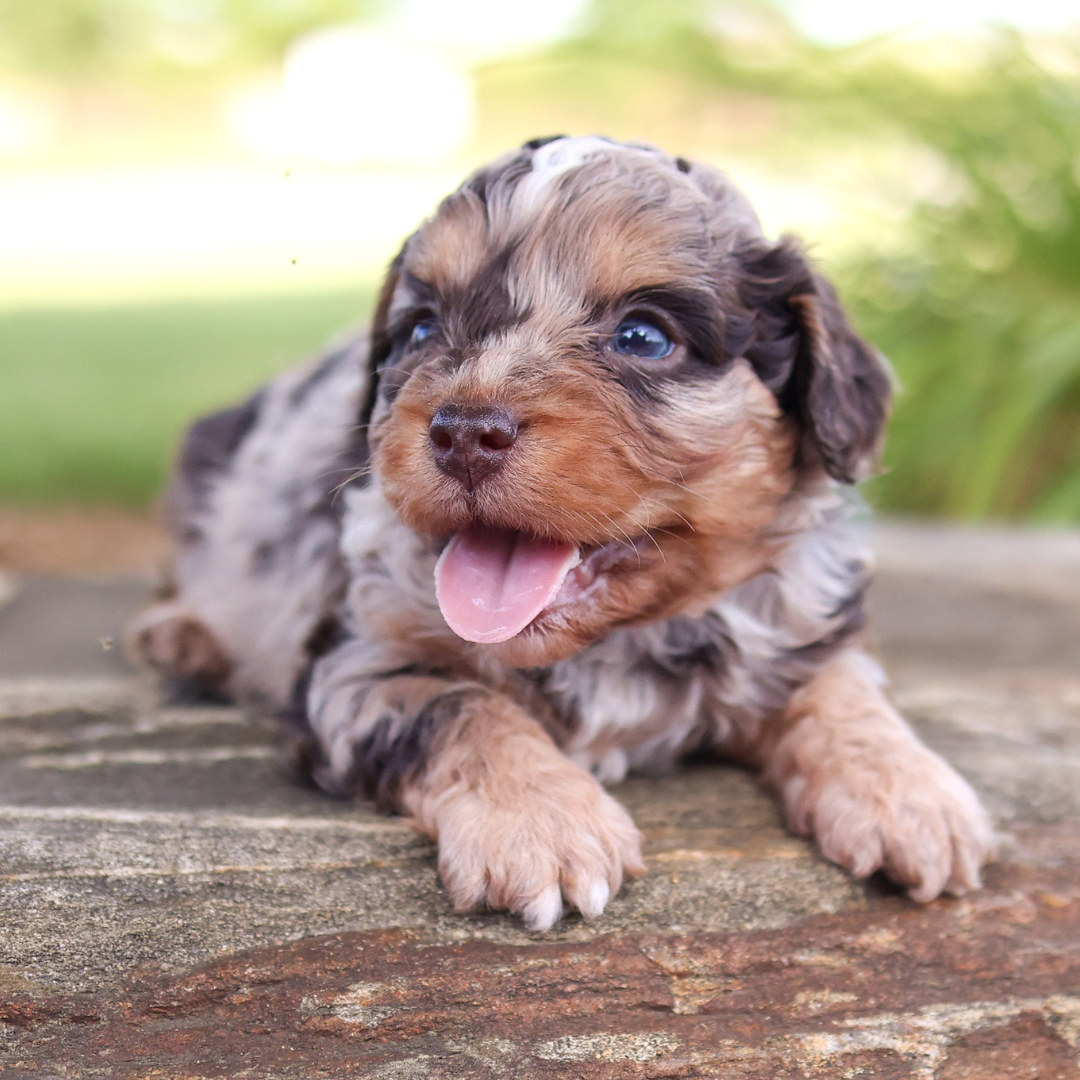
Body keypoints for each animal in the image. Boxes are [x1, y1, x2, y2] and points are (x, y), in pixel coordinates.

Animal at [128, 132, 993, 928]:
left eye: (644, 336)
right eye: (420, 331)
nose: (463, 432)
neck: (612, 644)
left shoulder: (802, 622)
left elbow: (843, 690)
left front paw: (912, 796)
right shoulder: (356, 662)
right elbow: (465, 708)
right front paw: (540, 823)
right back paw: (184, 637)